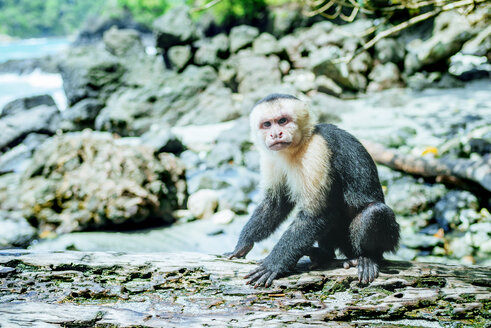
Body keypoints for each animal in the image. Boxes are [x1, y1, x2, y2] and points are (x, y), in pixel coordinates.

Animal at [226, 93, 400, 288]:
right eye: (267, 124)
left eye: (283, 121)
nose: (275, 134)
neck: (299, 144)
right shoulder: (272, 156)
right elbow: (274, 204)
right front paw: (242, 245)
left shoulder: (316, 150)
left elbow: (316, 213)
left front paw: (273, 264)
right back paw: (324, 255)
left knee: (374, 212)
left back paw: (368, 258)